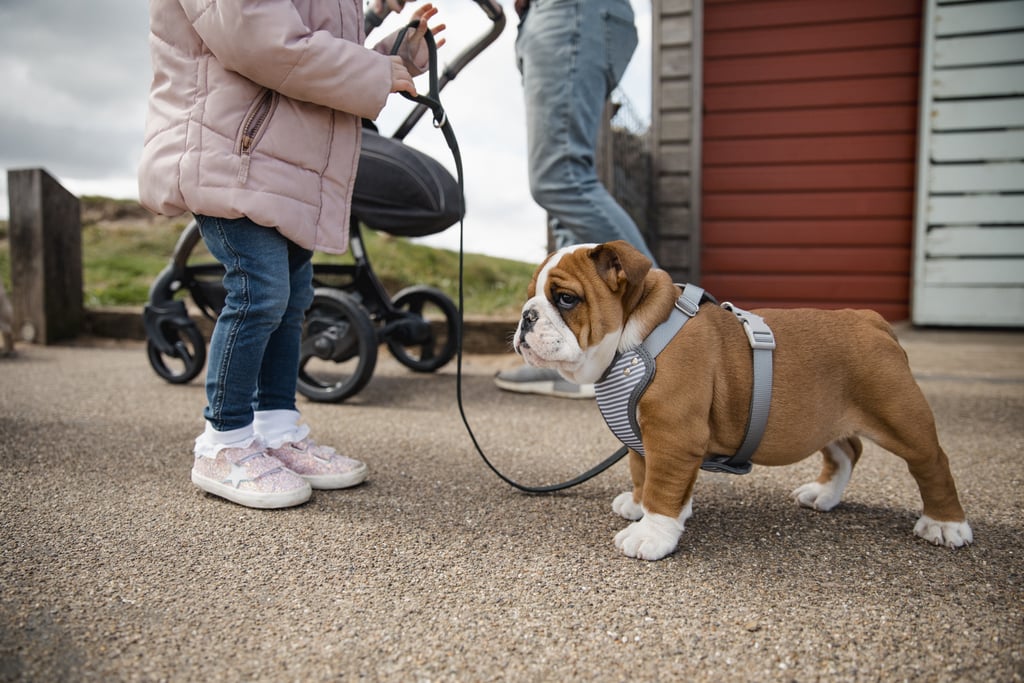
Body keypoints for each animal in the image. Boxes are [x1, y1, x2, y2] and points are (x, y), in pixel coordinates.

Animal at [516, 240, 970, 561]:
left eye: (566, 299)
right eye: (530, 297)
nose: (525, 316)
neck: (636, 336)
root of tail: (869, 319)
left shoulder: (672, 435)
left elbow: (662, 486)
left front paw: (651, 533)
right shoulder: (645, 438)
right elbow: (644, 472)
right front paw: (642, 505)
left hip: (900, 416)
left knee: (932, 462)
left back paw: (945, 525)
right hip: (825, 418)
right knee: (847, 450)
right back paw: (823, 494)